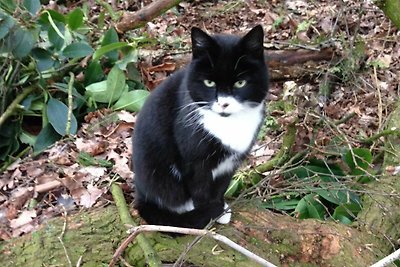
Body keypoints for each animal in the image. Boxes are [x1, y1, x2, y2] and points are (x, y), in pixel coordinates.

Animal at [132, 25, 268, 229]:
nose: (224, 103)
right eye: (209, 82)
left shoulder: (231, 163)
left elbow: (221, 186)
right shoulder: (194, 162)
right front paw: (209, 213)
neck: (228, 124)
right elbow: (200, 190)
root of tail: (140, 194)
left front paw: (220, 208)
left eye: (240, 82)